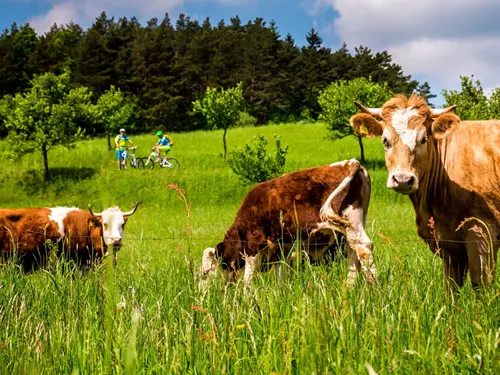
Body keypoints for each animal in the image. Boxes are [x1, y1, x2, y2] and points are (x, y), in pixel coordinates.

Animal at [199, 159, 376, 288]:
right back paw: (350, 288)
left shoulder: (253, 247)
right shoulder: (280, 251)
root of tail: (351, 162)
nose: (203, 293)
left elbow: (248, 281)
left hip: (351, 221)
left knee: (364, 249)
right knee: (354, 255)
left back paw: (373, 288)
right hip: (354, 226)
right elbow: (281, 278)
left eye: (205, 272)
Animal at [352, 92, 500, 292]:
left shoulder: (484, 233)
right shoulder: (449, 245)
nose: (403, 179)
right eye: (385, 140)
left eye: (423, 139)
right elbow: (451, 287)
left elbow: (481, 285)